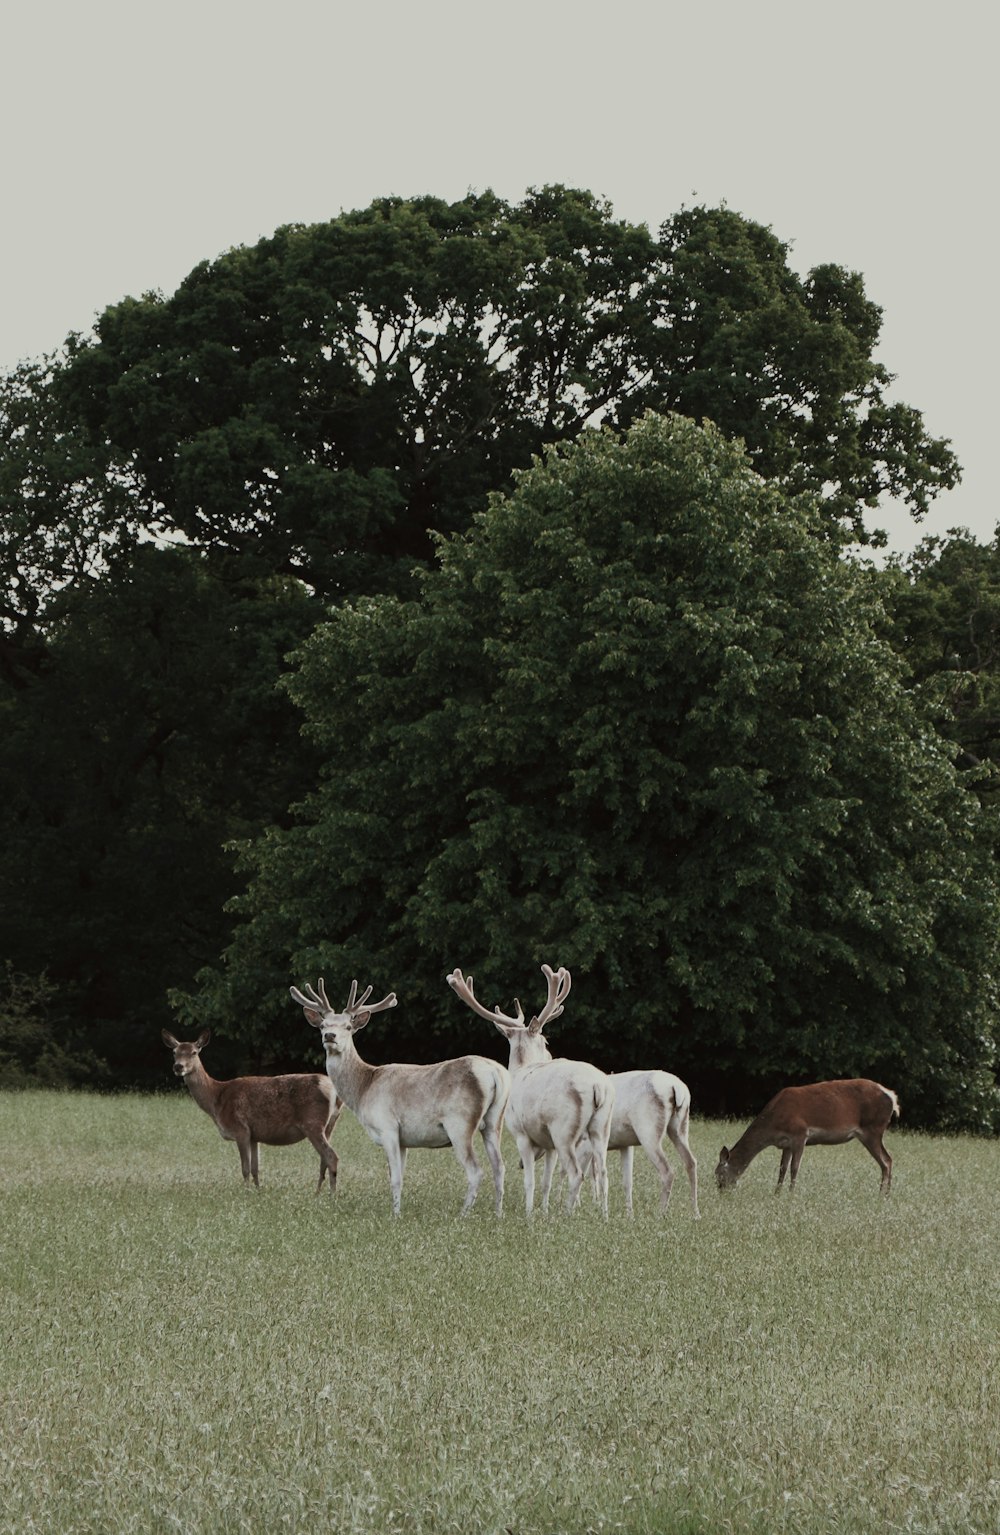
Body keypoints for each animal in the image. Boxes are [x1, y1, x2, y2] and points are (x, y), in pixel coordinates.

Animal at [160, 1031, 341, 1197]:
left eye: (194, 1052)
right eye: (175, 1052)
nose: (178, 1067)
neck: (216, 1100)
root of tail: (335, 1093)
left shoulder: (241, 1129)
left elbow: (245, 1168)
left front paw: (245, 1193)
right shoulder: (255, 1135)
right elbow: (255, 1168)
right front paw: (258, 1191)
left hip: (312, 1123)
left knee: (331, 1156)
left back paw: (332, 1195)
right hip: (329, 1125)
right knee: (323, 1159)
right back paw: (318, 1193)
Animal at [287, 976, 509, 1215]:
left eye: (348, 1026)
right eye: (322, 1025)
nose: (330, 1036)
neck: (363, 1089)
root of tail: (496, 1072)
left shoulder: (388, 1127)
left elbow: (395, 1178)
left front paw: (396, 1215)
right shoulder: (404, 1140)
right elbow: (399, 1175)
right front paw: (397, 1210)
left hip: (459, 1123)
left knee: (476, 1171)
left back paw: (462, 1215)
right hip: (494, 1122)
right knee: (499, 1167)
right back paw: (498, 1214)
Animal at [448, 963, 617, 1215]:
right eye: (546, 1041)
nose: (550, 1054)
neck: (519, 1069)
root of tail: (598, 1086)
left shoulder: (521, 1132)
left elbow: (530, 1180)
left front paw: (529, 1214)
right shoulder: (548, 1145)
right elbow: (546, 1181)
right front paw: (544, 1211)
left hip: (563, 1128)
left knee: (577, 1173)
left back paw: (568, 1214)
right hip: (601, 1127)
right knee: (604, 1173)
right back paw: (603, 1215)